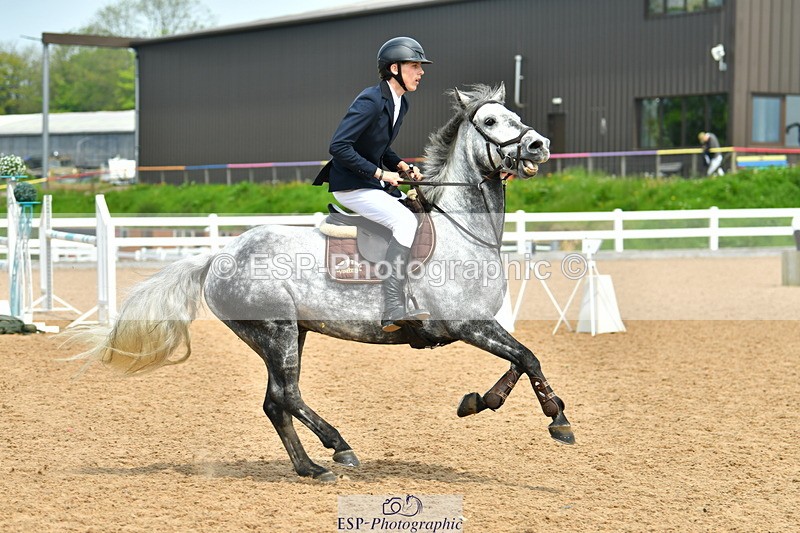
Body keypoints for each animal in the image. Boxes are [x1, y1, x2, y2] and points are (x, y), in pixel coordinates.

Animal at [68, 83, 574, 483]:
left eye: (517, 116)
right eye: (490, 120)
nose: (538, 145)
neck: (461, 228)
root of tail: (220, 255)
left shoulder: (482, 324)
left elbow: (521, 360)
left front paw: (481, 402)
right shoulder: (468, 324)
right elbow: (527, 357)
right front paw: (557, 421)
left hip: (290, 334)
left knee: (275, 402)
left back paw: (310, 467)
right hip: (277, 332)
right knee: (287, 395)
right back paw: (339, 447)